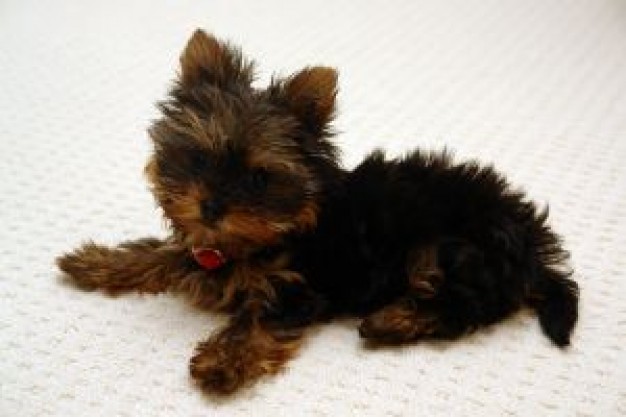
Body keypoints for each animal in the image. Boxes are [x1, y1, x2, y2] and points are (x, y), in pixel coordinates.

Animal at [56, 29, 576, 394]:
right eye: (199, 159)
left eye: (258, 178)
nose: (211, 207)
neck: (270, 233)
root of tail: (531, 244)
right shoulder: (201, 247)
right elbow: (158, 254)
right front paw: (97, 262)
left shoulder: (295, 289)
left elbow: (257, 322)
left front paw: (222, 362)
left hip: (452, 249)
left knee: (465, 307)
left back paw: (391, 320)